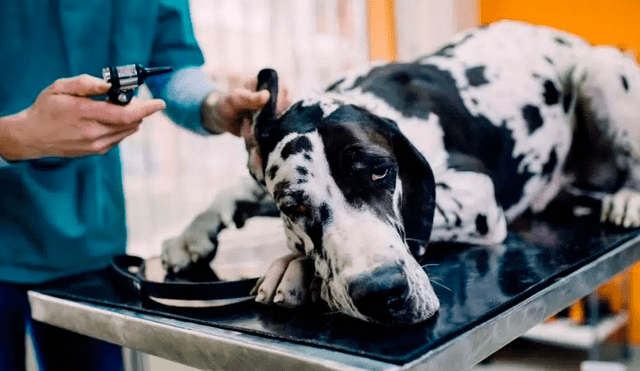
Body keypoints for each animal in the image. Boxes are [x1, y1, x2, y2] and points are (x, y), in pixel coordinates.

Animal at [161, 21, 640, 326]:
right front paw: (190, 235)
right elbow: (234, 188)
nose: (381, 292)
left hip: (597, 67)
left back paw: (628, 197)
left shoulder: (477, 196)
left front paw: (293, 266)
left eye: (380, 172)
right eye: (293, 206)